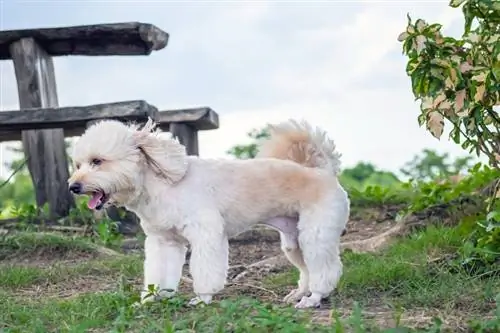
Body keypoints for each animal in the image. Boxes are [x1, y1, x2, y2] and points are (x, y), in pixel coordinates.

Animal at [68, 117, 350, 308]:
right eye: (78, 165)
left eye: (97, 161)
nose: (73, 186)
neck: (164, 183)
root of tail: (323, 171)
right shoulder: (164, 242)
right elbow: (159, 273)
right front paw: (151, 299)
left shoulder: (206, 234)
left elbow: (204, 271)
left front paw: (202, 298)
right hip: (294, 242)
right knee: (307, 271)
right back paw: (300, 293)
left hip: (316, 236)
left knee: (326, 271)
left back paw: (313, 299)